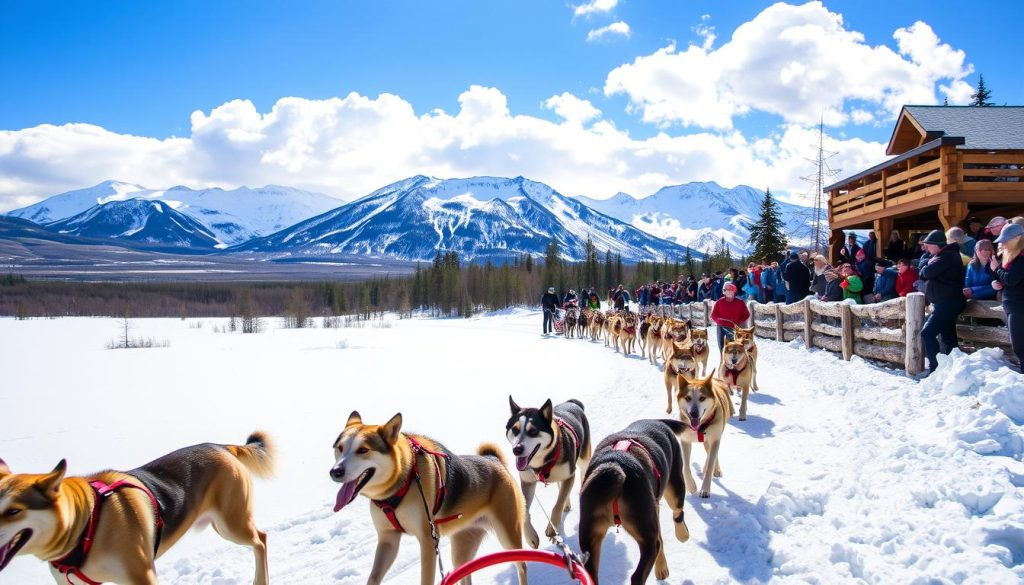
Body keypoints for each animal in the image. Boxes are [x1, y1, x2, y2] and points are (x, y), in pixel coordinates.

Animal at [0, 432, 276, 585]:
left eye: (14, 511)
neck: (88, 524)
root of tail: (222, 446)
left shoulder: (142, 576)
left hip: (231, 524)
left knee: (261, 539)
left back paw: (260, 580)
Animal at [331, 411, 528, 585]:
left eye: (363, 450)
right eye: (339, 448)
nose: (335, 471)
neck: (403, 479)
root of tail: (494, 460)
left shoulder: (428, 540)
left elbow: (426, 578)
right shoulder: (388, 539)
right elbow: (373, 578)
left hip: (508, 535)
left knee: (522, 565)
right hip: (462, 546)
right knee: (465, 574)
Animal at [505, 397, 593, 549]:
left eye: (533, 431)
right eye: (515, 429)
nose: (516, 449)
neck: (543, 463)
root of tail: (572, 402)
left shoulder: (570, 475)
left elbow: (557, 505)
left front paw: (552, 528)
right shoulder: (527, 481)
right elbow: (525, 509)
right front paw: (531, 537)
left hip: (583, 457)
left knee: (581, 473)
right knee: (561, 486)